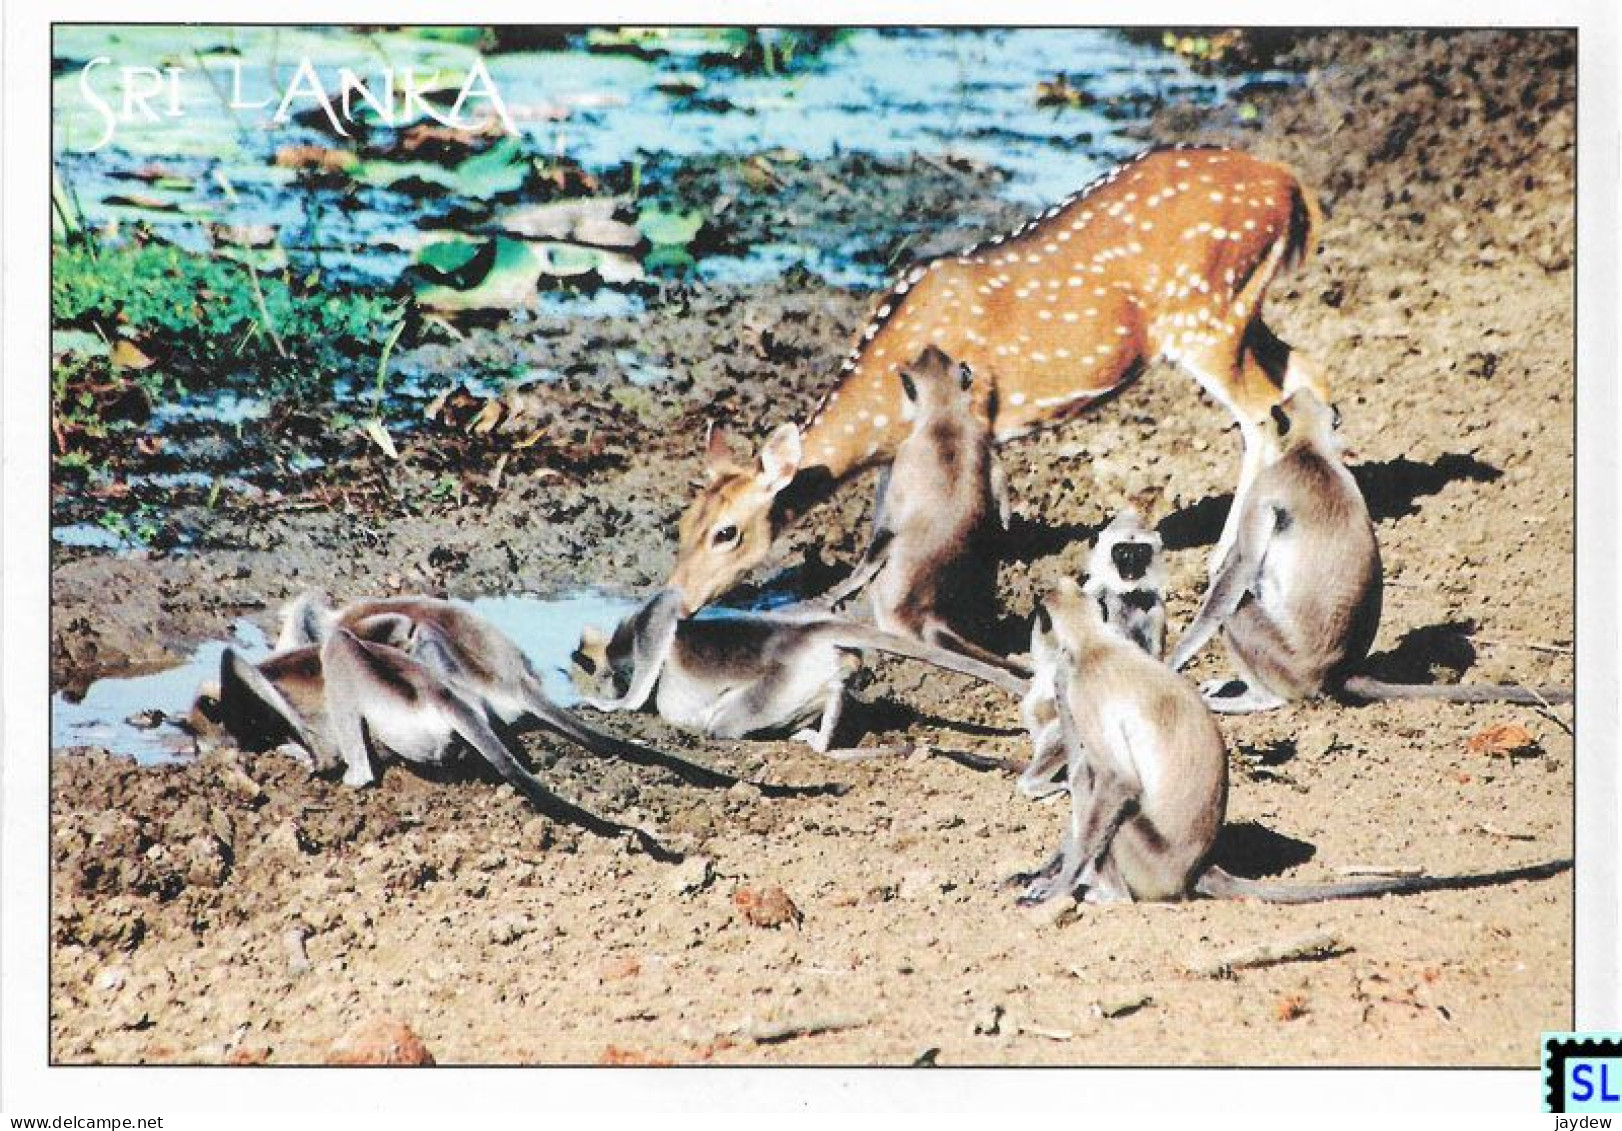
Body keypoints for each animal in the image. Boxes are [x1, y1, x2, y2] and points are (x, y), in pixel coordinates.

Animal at [671, 147, 1330, 616]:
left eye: (727, 533)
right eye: (681, 524)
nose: (678, 597)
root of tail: (1290, 186)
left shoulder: (973, 410)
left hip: (1205, 315)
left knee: (1262, 414)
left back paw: (1225, 560)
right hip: (1241, 314)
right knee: (1303, 370)